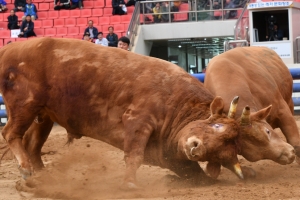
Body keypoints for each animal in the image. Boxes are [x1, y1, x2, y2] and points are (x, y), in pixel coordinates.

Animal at [0, 38, 246, 189]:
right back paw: (26, 169)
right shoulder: (138, 120)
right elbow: (134, 156)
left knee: (33, 145)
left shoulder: (167, 153)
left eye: (219, 153)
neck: (177, 100)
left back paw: (43, 176)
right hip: (25, 105)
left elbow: (197, 175)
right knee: (11, 133)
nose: (196, 148)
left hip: (43, 115)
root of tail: (10, 49)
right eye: (216, 126)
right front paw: (129, 183)